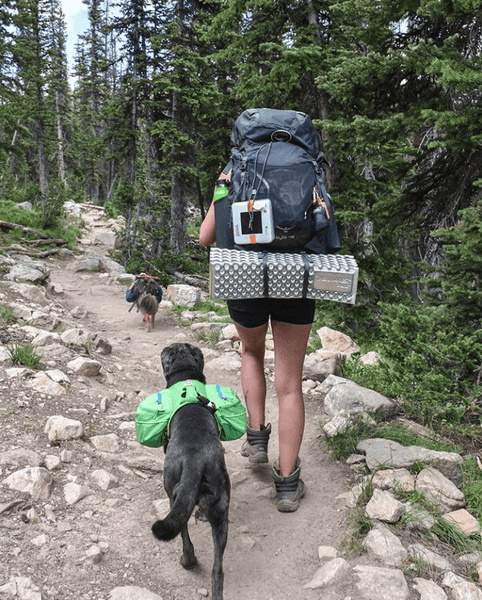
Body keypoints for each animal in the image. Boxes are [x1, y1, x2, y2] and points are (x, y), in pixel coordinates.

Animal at [153, 342, 232, 600]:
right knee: (218, 571)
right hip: (221, 513)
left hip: (175, 497)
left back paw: (188, 561)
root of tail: (194, 459)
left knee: (185, 538)